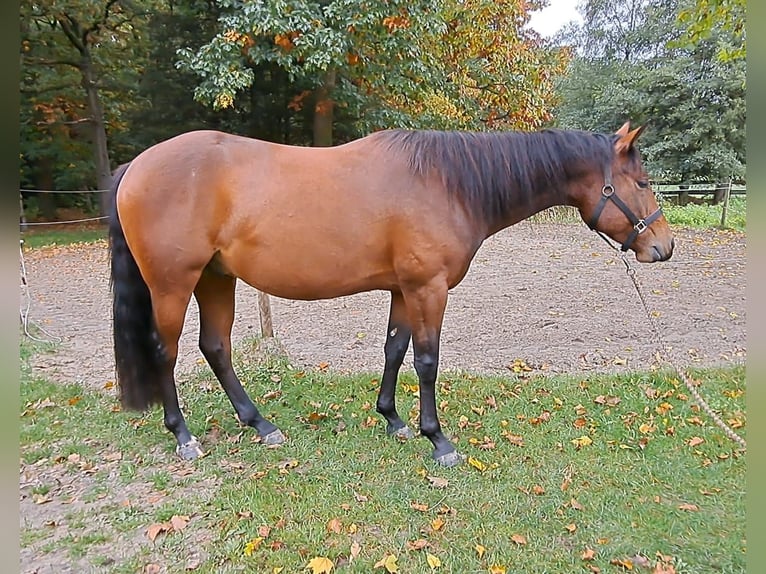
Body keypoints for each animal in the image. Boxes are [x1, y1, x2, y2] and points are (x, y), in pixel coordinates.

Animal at [108, 121, 674, 467]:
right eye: (644, 182)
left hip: (215, 278)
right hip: (174, 284)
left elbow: (395, 350)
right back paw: (183, 436)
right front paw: (437, 438)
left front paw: (393, 419)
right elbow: (426, 359)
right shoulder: (429, 289)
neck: (447, 183)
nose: (663, 246)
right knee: (167, 351)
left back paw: (261, 425)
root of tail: (135, 167)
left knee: (216, 348)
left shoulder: (405, 289)